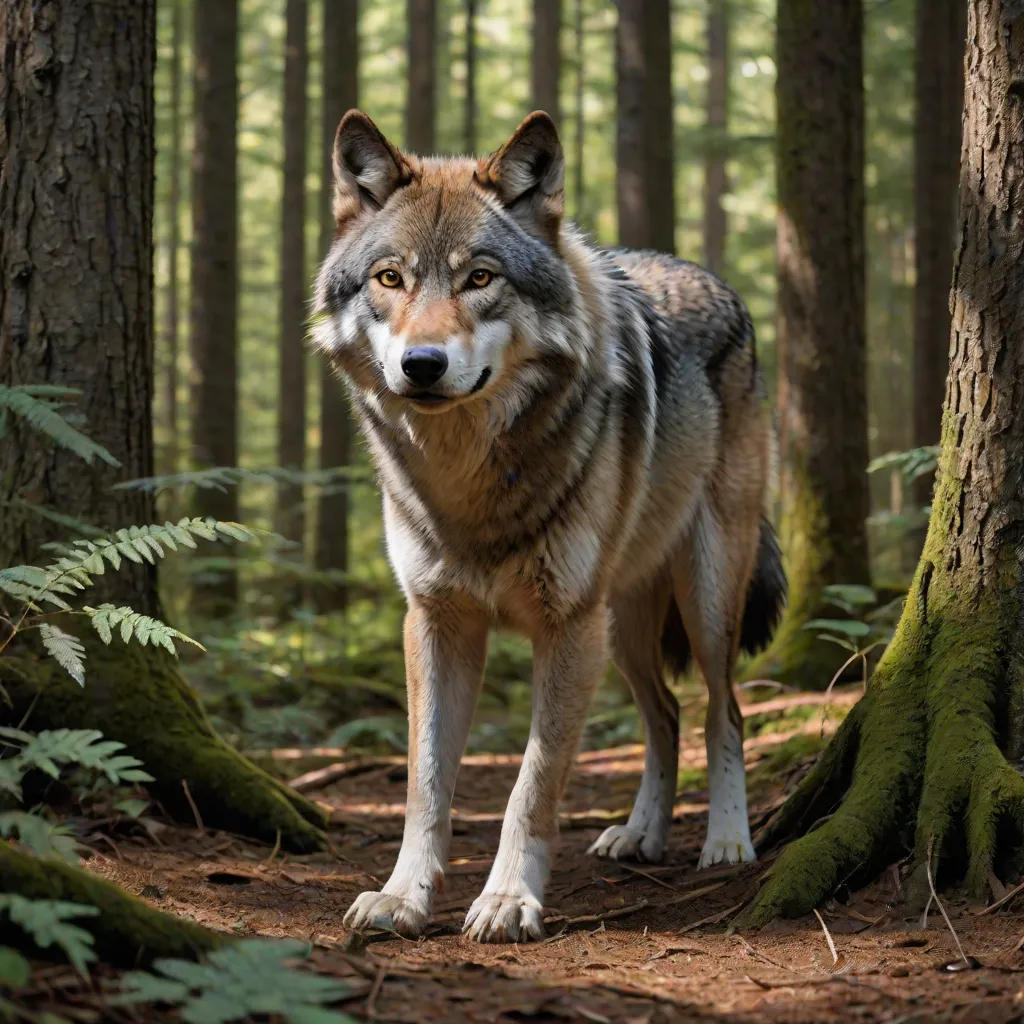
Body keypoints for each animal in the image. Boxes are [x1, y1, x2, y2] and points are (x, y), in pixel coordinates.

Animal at [313, 110, 786, 944]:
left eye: (480, 278)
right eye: (390, 279)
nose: (422, 364)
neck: (470, 483)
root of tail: (715, 279)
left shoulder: (566, 625)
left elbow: (531, 785)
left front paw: (507, 900)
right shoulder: (435, 621)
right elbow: (426, 783)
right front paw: (404, 897)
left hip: (699, 600)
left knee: (721, 712)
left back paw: (727, 840)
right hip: (621, 627)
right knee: (664, 716)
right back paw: (639, 835)